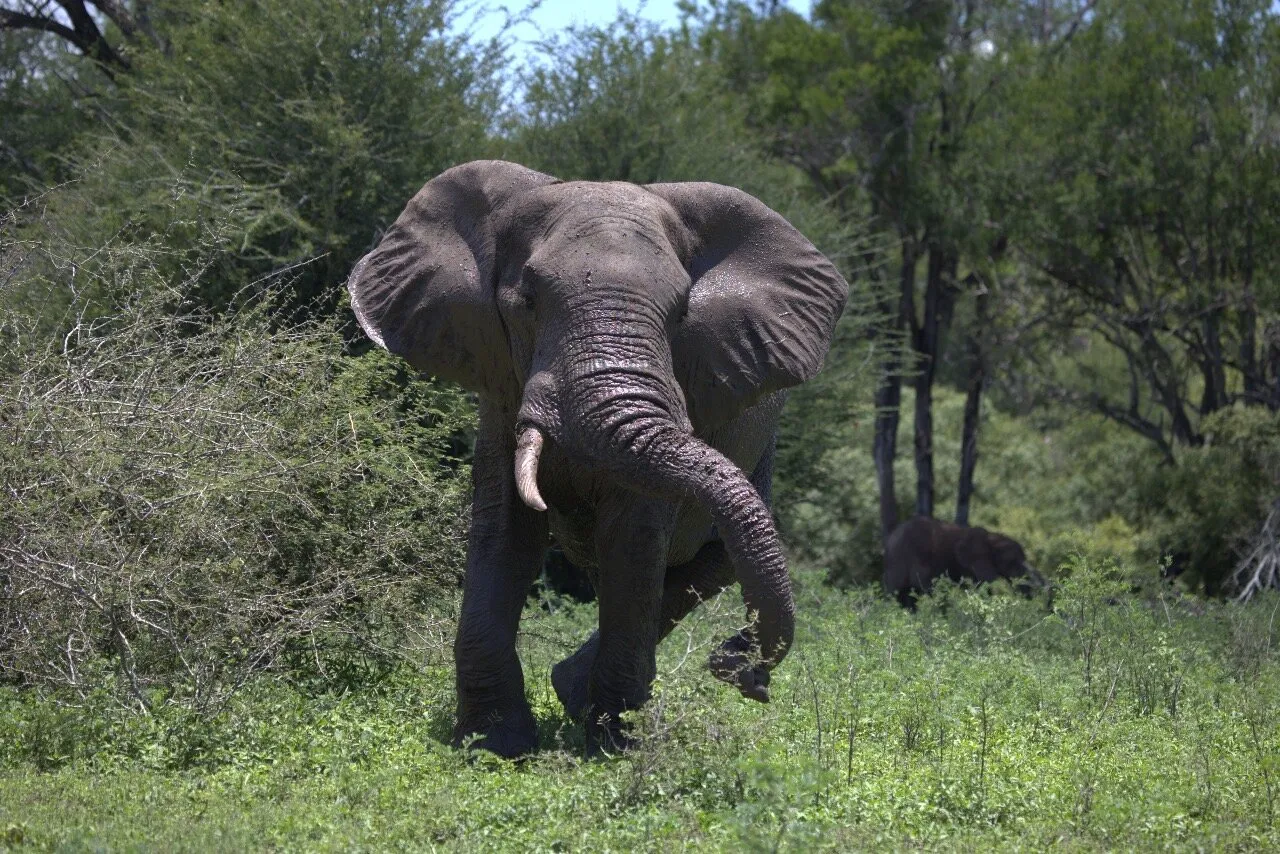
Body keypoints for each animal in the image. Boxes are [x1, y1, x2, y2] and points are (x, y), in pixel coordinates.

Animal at [346, 160, 848, 756]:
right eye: (527, 302)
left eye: (682, 313)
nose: (751, 677)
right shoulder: (500, 386)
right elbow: (504, 530)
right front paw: (494, 745)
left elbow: (633, 541)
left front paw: (613, 748)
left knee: (716, 559)